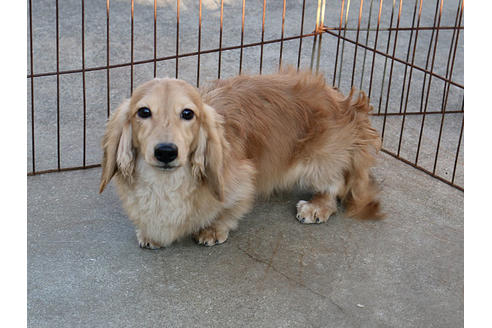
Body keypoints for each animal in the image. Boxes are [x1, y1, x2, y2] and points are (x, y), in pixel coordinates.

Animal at [100, 70, 382, 249]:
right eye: (143, 112)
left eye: (188, 113)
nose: (166, 152)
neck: (166, 184)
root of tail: (346, 104)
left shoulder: (244, 182)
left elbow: (231, 210)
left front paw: (212, 229)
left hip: (317, 162)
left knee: (335, 184)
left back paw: (317, 206)